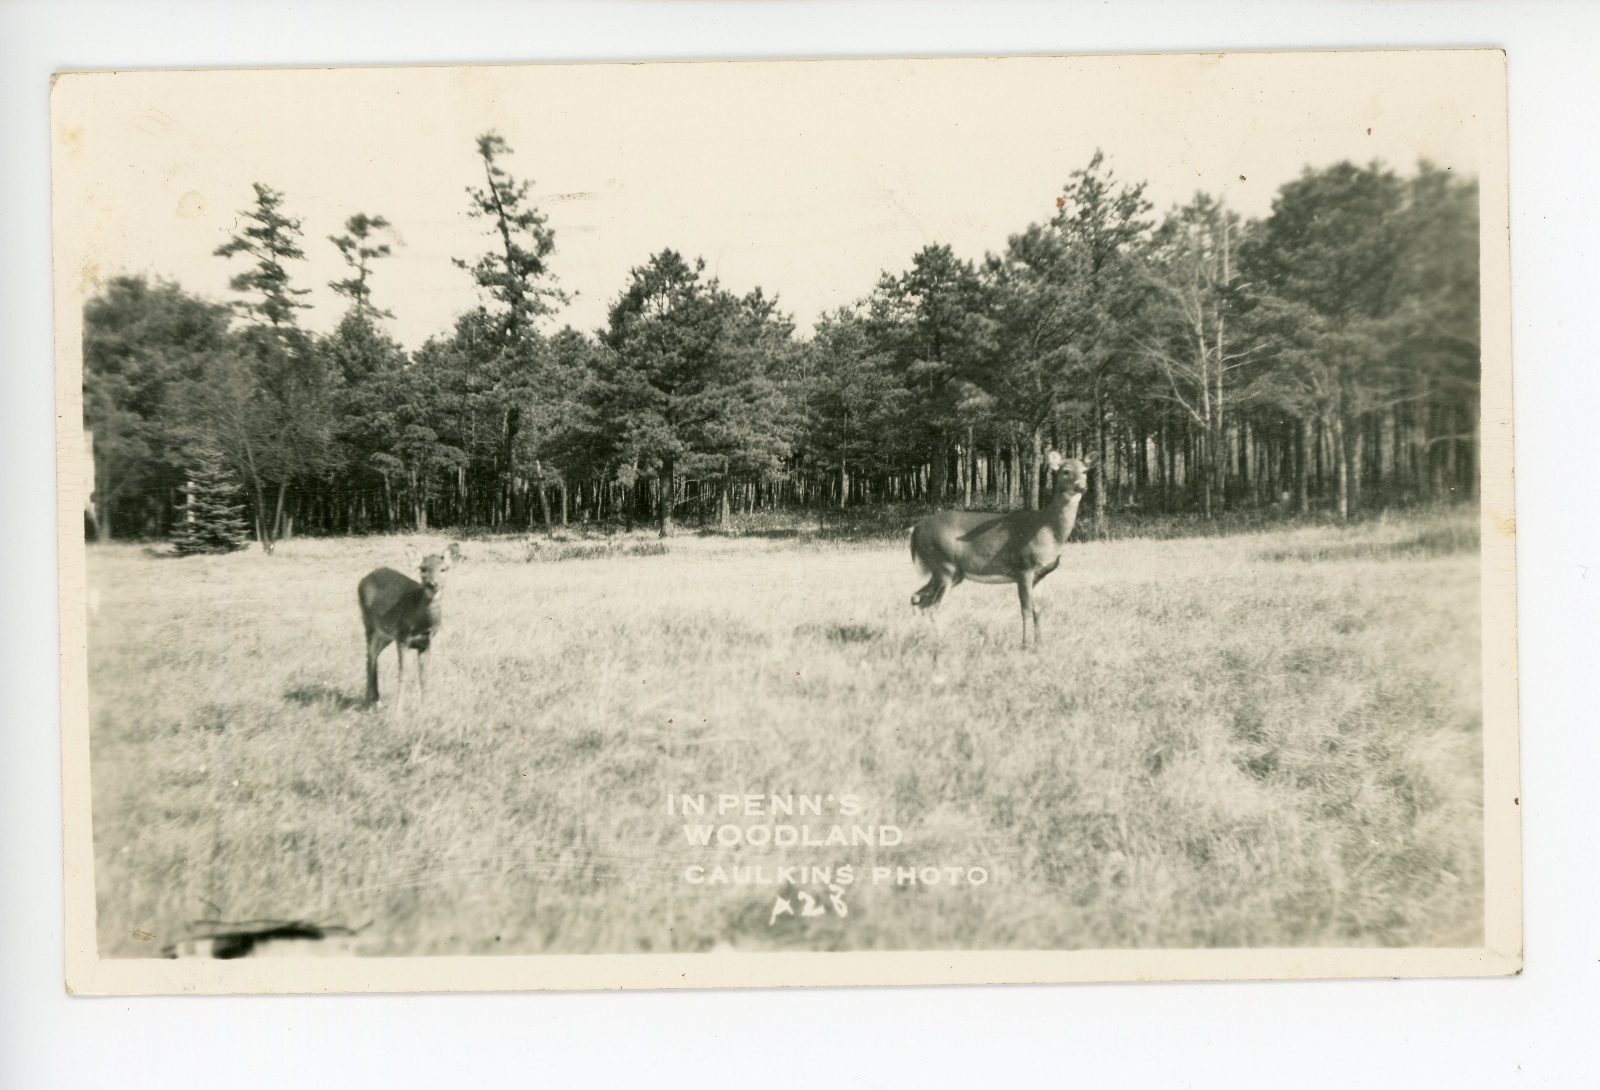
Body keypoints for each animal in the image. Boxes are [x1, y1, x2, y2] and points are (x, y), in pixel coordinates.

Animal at [358, 542, 460, 710]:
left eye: (443, 569)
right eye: (423, 569)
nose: (433, 584)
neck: (422, 623)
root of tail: (364, 579)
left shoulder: (426, 643)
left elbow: (424, 677)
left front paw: (424, 710)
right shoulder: (402, 638)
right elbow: (402, 675)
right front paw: (398, 712)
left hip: (385, 634)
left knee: (374, 654)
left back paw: (376, 700)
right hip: (369, 622)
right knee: (370, 655)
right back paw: (368, 702)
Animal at [910, 450, 1095, 648]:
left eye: (1085, 471)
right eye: (1066, 471)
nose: (1082, 486)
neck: (1047, 528)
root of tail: (916, 529)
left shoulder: (1040, 574)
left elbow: (1038, 610)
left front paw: (1040, 644)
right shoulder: (1023, 566)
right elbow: (1025, 609)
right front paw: (1025, 645)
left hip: (952, 573)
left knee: (918, 600)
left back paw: (922, 638)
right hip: (943, 564)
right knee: (932, 606)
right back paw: (941, 642)